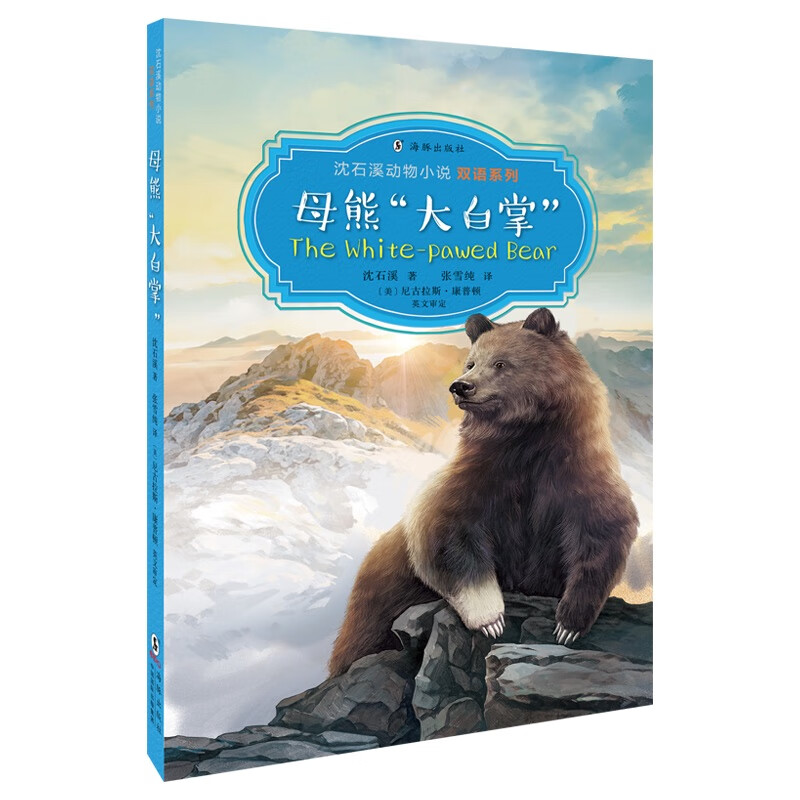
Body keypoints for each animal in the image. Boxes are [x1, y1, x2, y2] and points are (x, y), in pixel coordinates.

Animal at [328, 308, 638, 676]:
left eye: (501, 363)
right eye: (471, 362)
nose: (460, 386)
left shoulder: (576, 475)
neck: (527, 439)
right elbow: (445, 532)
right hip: (378, 599)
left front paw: (569, 623)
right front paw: (492, 618)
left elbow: (601, 533)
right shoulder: (481, 478)